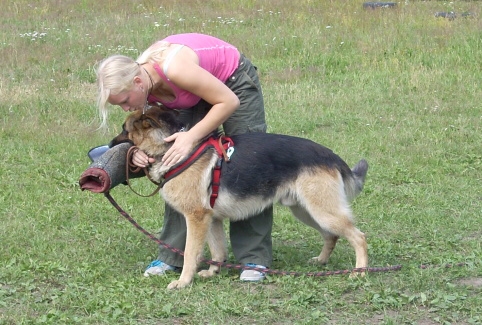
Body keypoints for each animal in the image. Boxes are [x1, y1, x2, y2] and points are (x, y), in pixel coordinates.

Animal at [113, 106, 370, 288]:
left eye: (125, 129)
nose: (109, 144)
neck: (173, 149)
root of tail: (331, 156)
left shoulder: (196, 219)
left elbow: (190, 254)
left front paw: (184, 282)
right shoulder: (211, 219)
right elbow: (217, 250)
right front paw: (213, 272)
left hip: (322, 211)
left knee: (358, 236)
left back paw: (360, 271)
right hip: (307, 210)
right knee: (331, 235)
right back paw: (322, 261)